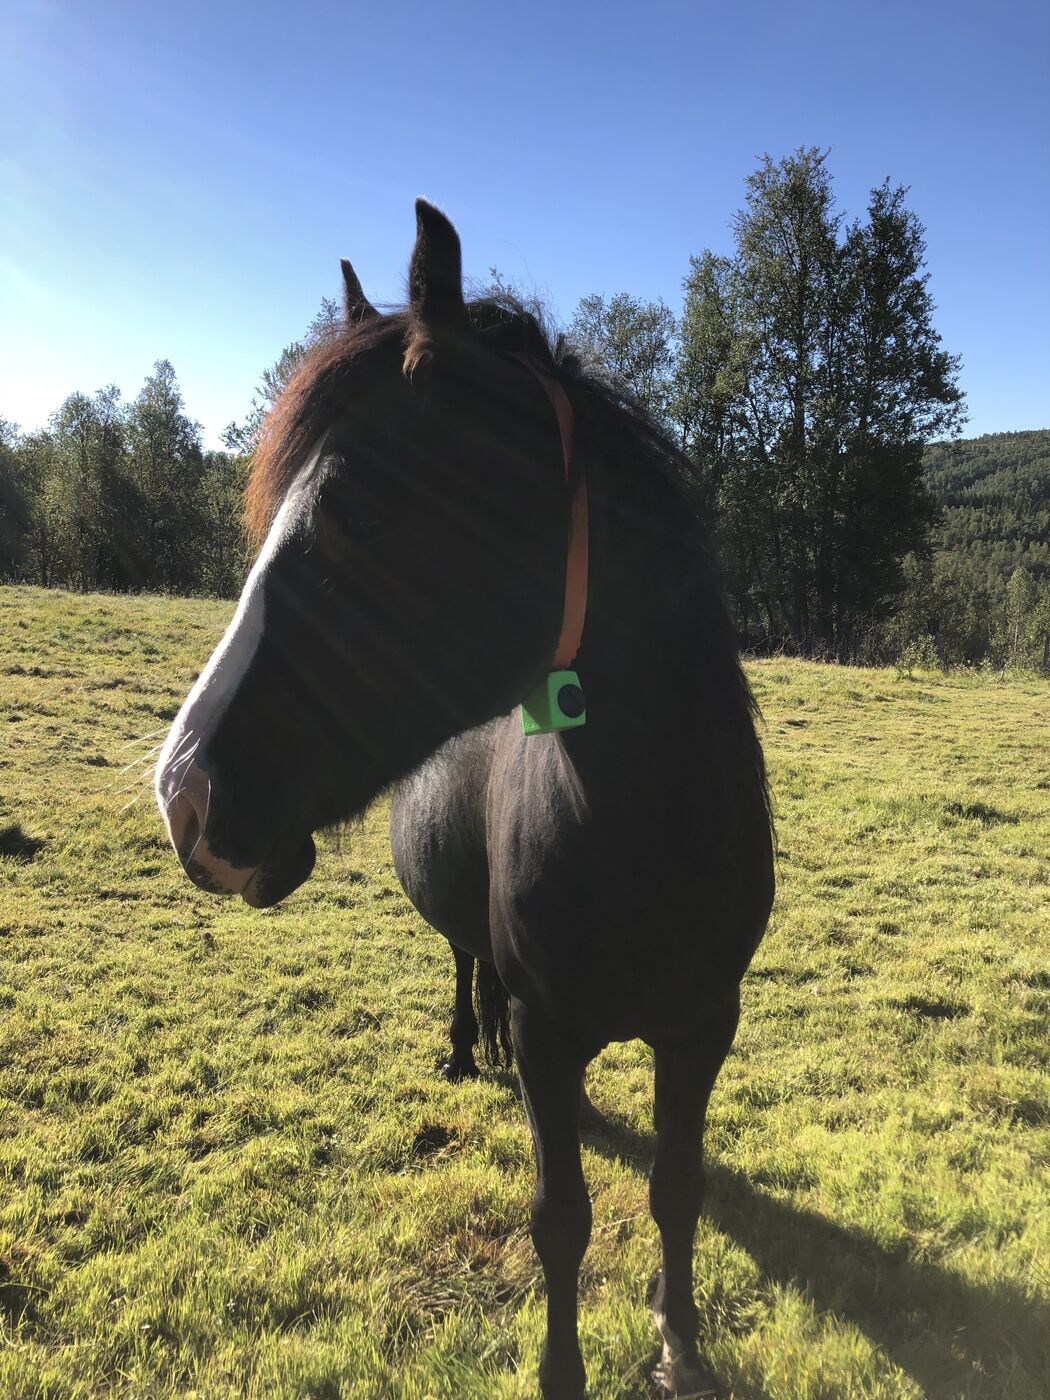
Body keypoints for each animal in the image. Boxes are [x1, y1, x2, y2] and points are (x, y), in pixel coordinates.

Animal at [155, 200, 775, 1399]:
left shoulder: (705, 1026)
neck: (650, 836)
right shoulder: (548, 1033)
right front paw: (563, 1369)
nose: (183, 795)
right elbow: (561, 1218)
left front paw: (677, 1341)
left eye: (353, 513)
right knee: (462, 962)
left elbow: (676, 1188)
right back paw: (458, 1045)